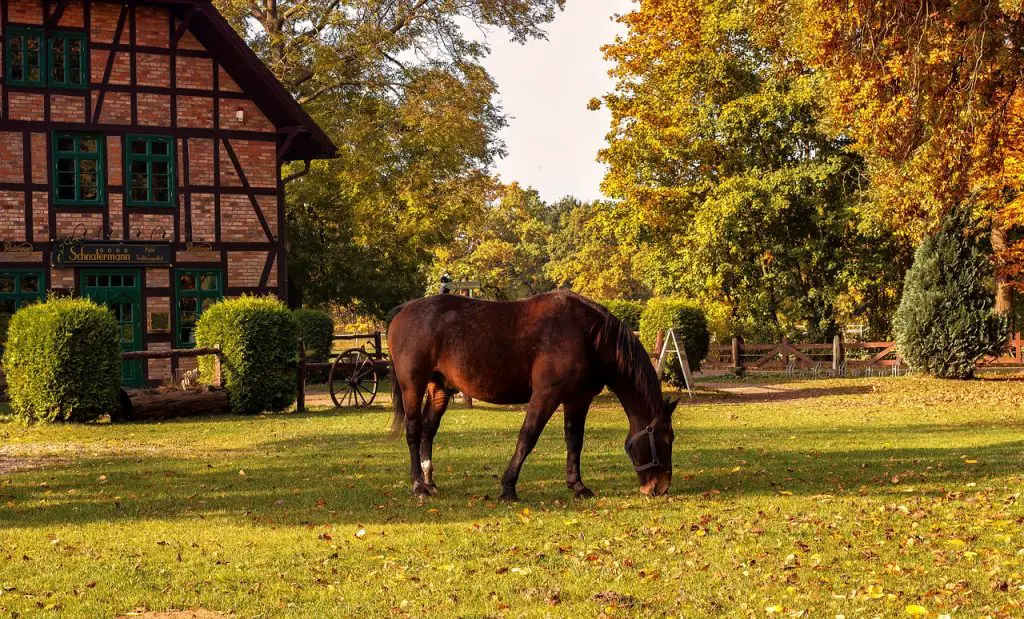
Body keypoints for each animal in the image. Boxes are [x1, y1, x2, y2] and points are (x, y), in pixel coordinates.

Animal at [387, 291, 675, 502]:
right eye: (667, 439)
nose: (660, 487)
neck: (587, 335)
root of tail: (404, 310)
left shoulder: (578, 399)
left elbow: (574, 441)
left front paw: (578, 486)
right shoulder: (545, 396)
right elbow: (527, 437)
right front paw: (508, 488)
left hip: (438, 389)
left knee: (428, 431)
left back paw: (430, 483)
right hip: (413, 387)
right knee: (413, 432)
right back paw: (418, 486)